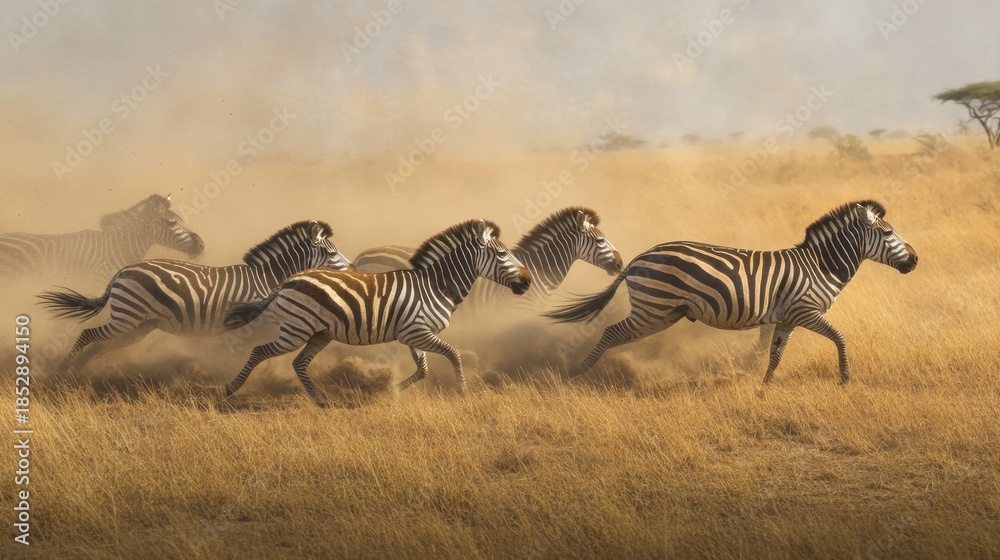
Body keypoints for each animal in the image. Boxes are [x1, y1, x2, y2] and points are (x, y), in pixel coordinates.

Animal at [37, 220, 353, 372]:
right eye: (332, 254)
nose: (354, 271)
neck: (267, 279)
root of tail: (122, 271)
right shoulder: (251, 323)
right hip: (127, 317)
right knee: (88, 335)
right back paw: (63, 373)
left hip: (139, 325)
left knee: (101, 344)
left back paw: (79, 373)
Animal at [222, 219, 531, 406]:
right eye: (502, 254)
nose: (528, 281)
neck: (435, 286)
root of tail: (287, 280)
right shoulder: (418, 332)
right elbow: (453, 355)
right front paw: (463, 393)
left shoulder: (413, 335)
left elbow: (422, 369)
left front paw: (388, 394)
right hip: (296, 330)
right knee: (259, 352)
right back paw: (228, 391)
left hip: (319, 333)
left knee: (299, 363)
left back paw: (321, 401)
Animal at [545, 201, 918, 384]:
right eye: (888, 233)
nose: (915, 260)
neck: (819, 266)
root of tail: (638, 257)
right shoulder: (806, 312)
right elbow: (840, 338)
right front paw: (844, 378)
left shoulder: (786, 319)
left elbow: (773, 354)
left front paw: (763, 387)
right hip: (653, 308)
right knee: (611, 332)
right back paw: (578, 373)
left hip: (662, 313)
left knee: (616, 334)